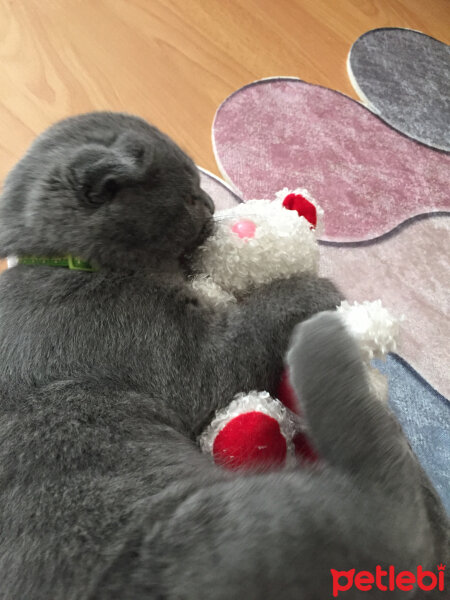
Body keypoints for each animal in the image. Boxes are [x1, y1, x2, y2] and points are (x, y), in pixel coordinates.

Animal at [0, 111, 444, 596]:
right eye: (191, 195)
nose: (213, 207)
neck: (67, 263)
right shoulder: (178, 356)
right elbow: (251, 324)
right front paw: (313, 289)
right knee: (395, 493)